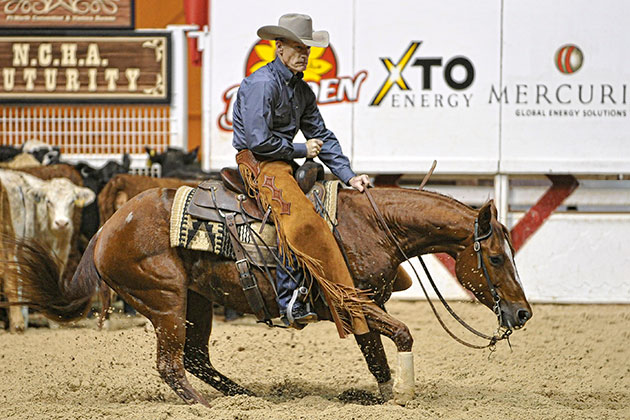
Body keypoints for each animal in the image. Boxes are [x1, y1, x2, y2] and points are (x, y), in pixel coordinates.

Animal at [11, 185, 532, 406]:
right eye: (497, 258)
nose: (523, 313)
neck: (368, 225)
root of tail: (106, 228)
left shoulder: (367, 306)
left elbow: (376, 357)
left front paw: (384, 396)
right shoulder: (354, 302)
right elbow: (402, 335)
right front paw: (404, 396)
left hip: (197, 301)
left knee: (196, 358)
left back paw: (246, 398)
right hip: (166, 300)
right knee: (171, 365)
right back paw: (208, 408)